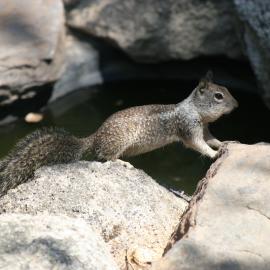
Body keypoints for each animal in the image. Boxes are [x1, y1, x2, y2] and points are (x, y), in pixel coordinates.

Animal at [0, 71, 236, 194]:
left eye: (226, 89)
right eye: (218, 96)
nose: (237, 104)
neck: (195, 110)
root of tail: (95, 136)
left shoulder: (204, 129)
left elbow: (211, 139)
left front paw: (226, 143)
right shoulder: (188, 127)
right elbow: (197, 144)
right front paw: (213, 154)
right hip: (119, 142)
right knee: (104, 156)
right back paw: (122, 163)